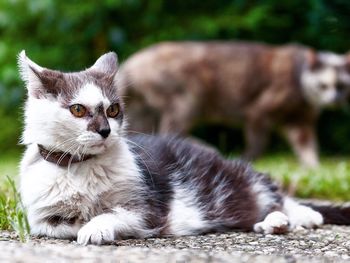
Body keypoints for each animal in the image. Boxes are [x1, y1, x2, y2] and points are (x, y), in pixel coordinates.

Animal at [120, 42, 350, 168]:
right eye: (323, 85)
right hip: (186, 100)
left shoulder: (301, 122)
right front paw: (248, 158)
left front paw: (313, 167)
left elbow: (308, 147)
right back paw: (205, 147)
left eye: (341, 86)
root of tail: (129, 64)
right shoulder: (258, 112)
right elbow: (258, 143)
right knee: (169, 131)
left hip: (144, 111)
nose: (335, 98)